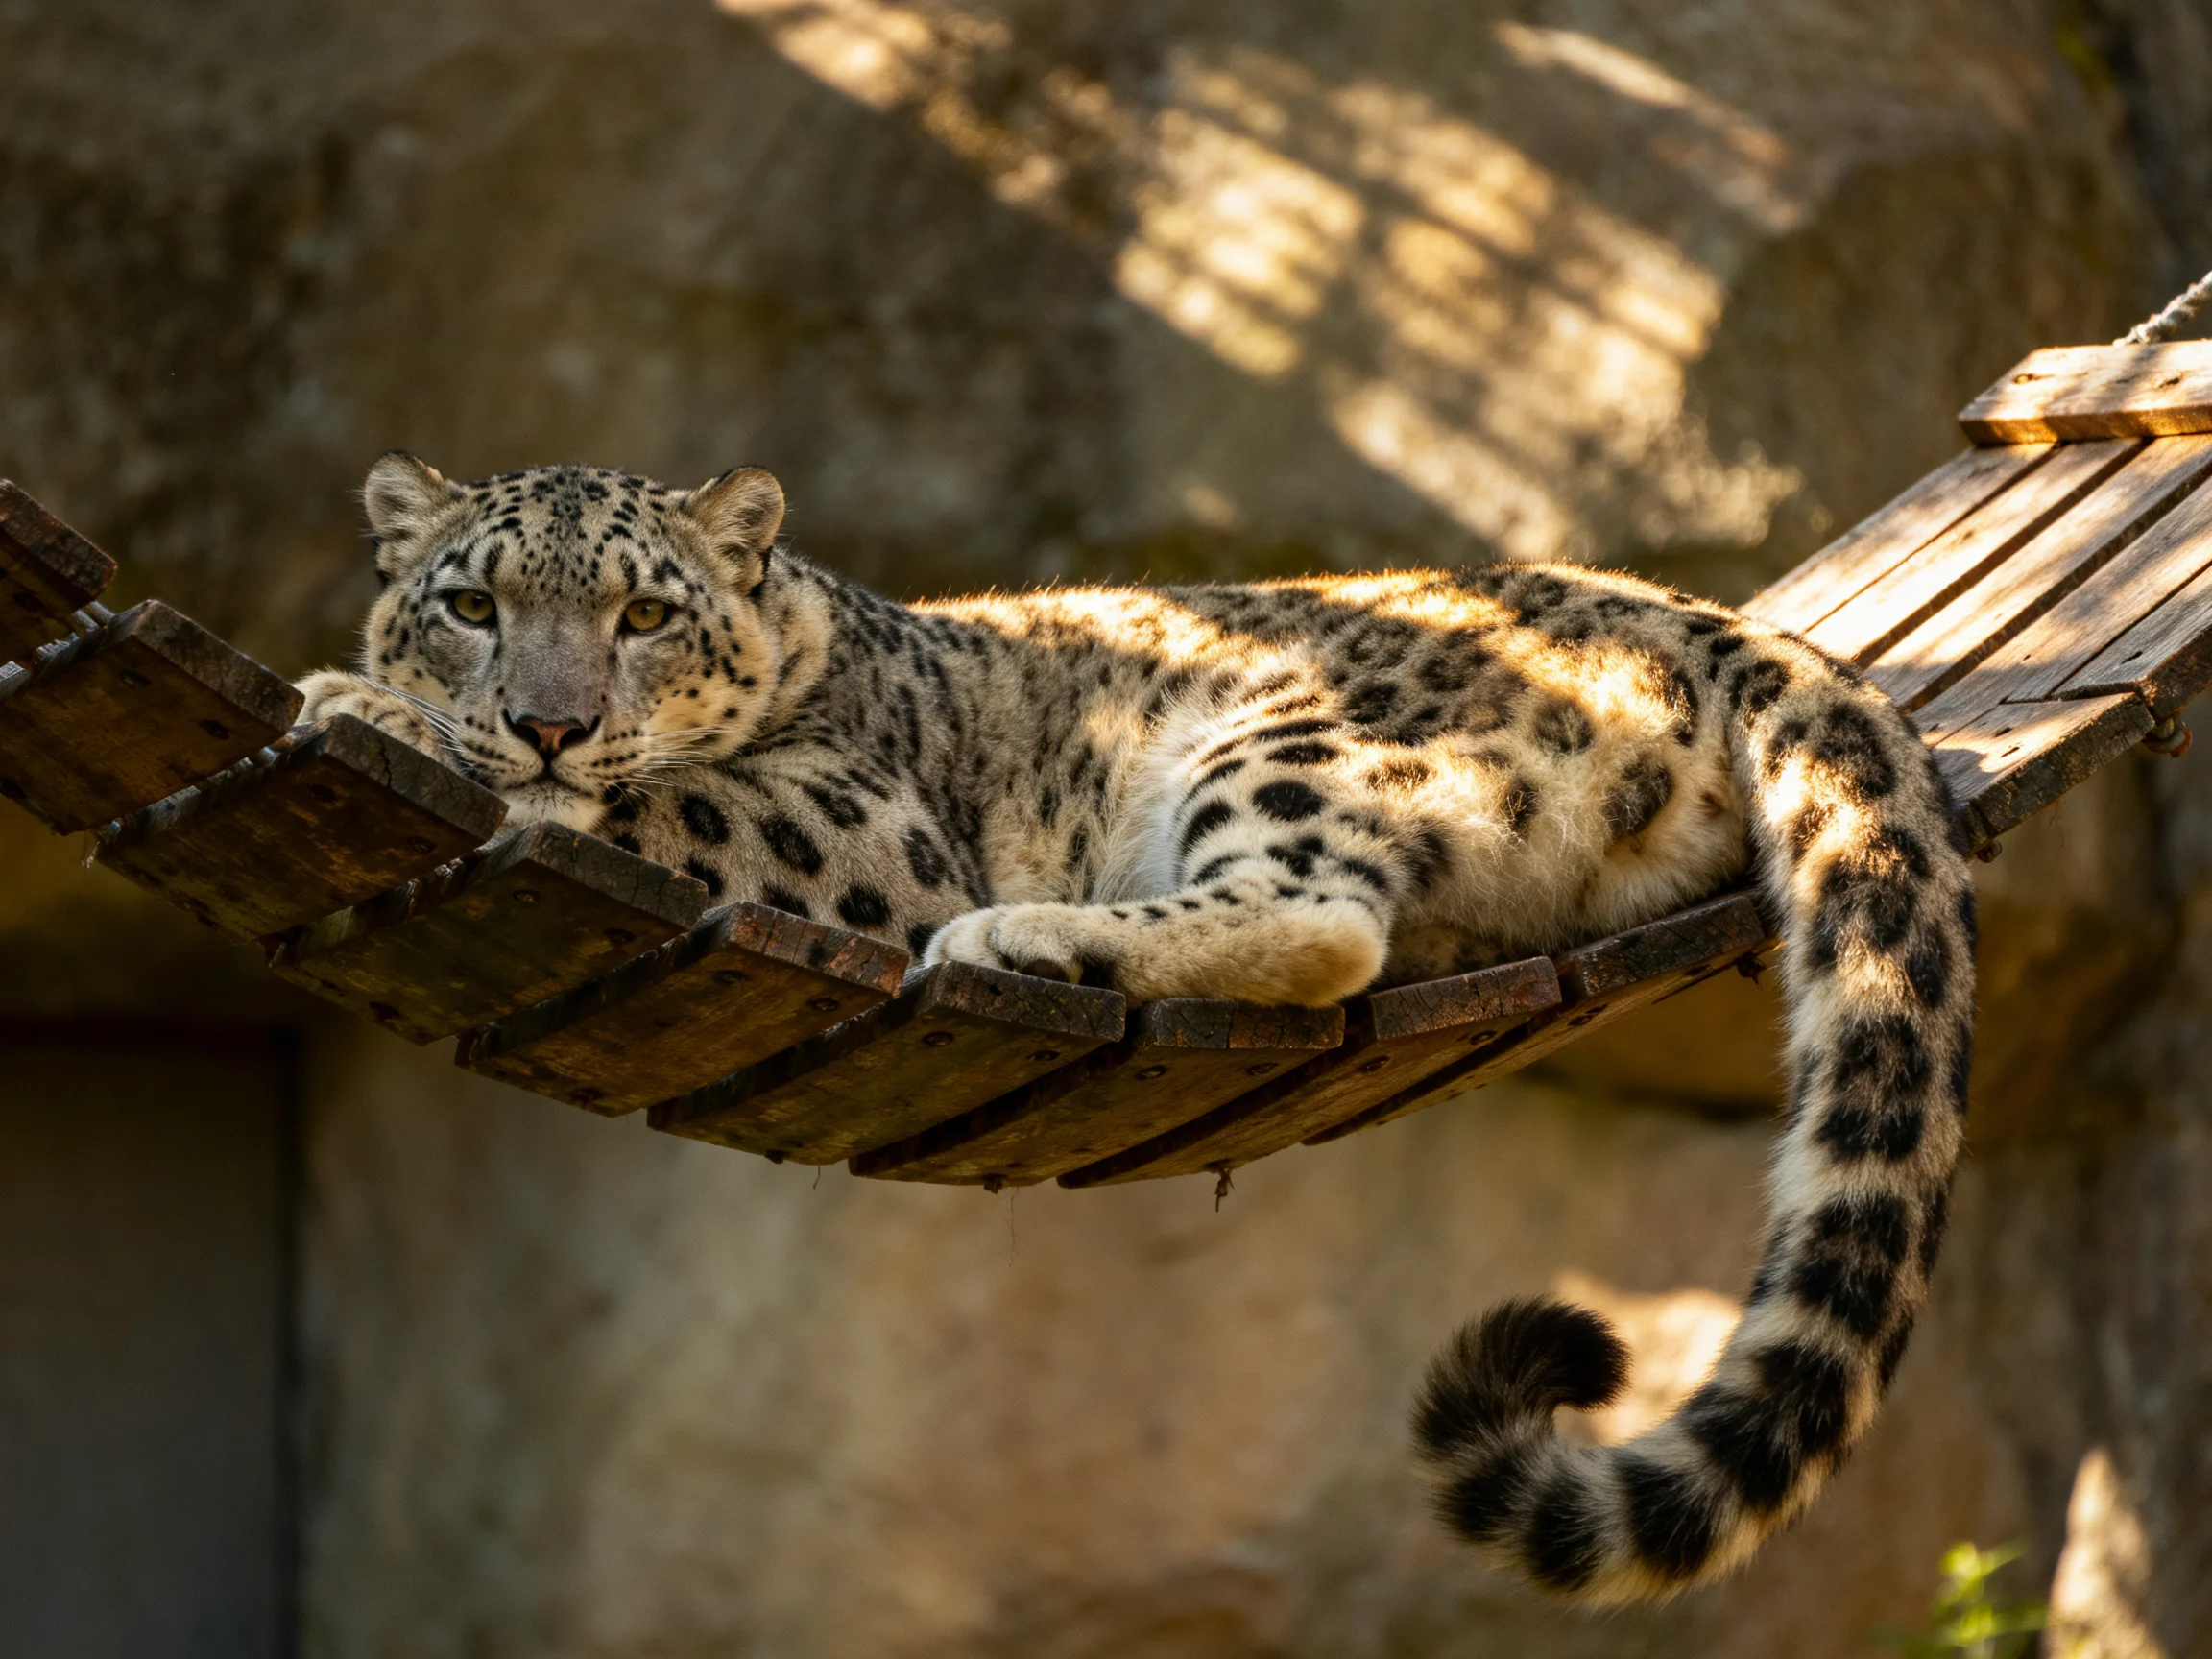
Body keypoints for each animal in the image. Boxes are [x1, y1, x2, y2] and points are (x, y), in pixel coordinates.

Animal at [299, 452, 1975, 1604]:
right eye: (470, 604)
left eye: (645, 611)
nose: (549, 721)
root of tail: (1692, 611)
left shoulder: (851, 827)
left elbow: (670, 797)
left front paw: (365, 711)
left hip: (1280, 739)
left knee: (1322, 911)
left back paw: (1020, 933)